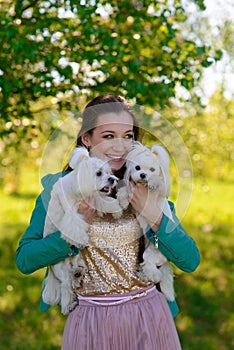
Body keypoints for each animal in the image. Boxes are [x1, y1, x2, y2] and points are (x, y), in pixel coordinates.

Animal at [42, 146, 122, 314]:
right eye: (98, 173)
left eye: (108, 172)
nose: (113, 179)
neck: (77, 187)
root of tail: (50, 269)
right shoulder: (72, 213)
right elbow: (74, 226)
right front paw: (79, 240)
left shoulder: (94, 198)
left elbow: (105, 202)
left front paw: (116, 211)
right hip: (61, 269)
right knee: (66, 286)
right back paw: (68, 305)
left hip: (77, 260)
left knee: (74, 273)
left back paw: (78, 273)